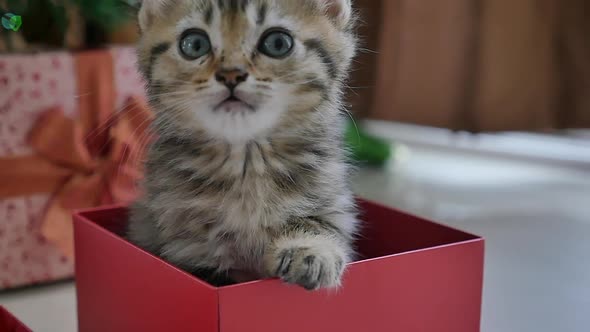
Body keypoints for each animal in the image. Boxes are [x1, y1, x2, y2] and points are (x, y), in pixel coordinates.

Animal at [129, 0, 358, 290]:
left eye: (278, 43)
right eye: (194, 44)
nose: (231, 74)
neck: (246, 162)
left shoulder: (332, 197)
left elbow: (321, 223)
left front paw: (312, 250)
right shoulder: (183, 243)